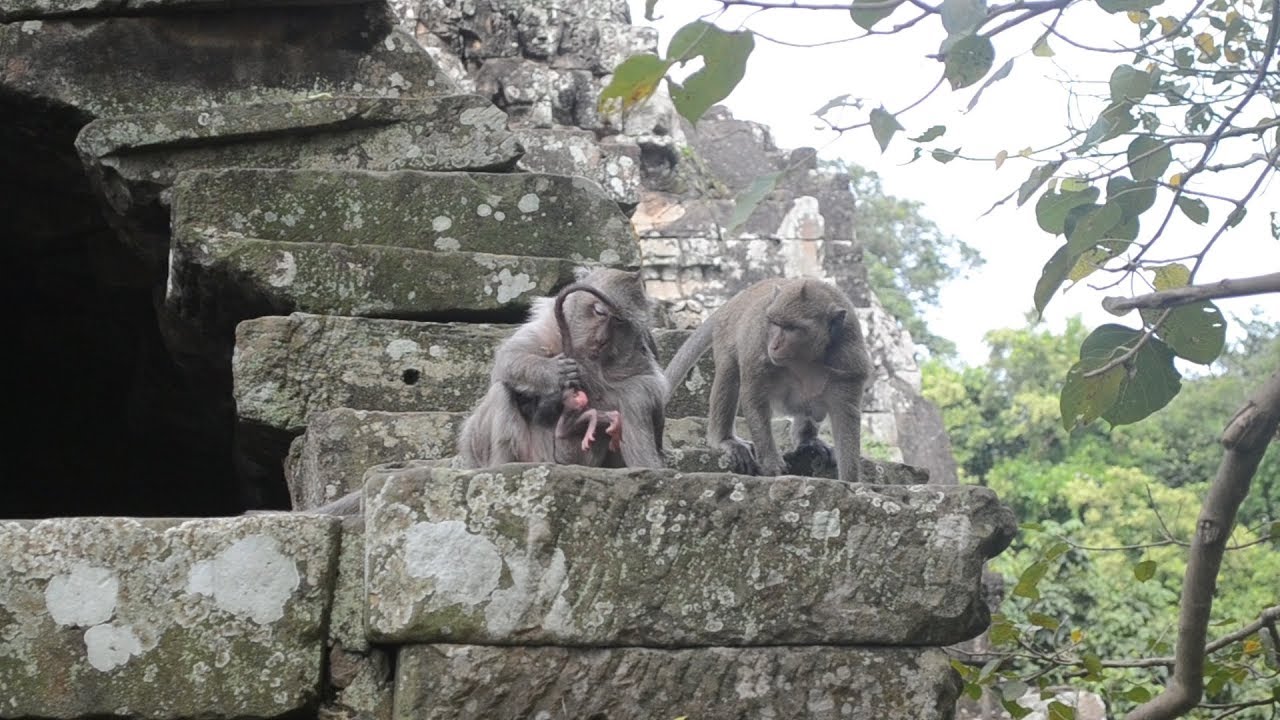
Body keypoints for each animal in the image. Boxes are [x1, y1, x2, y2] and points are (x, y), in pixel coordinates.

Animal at [456, 267, 668, 469]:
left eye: (619, 321)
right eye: (599, 311)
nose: (602, 339)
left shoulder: (639, 366)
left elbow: (642, 391)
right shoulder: (549, 328)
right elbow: (508, 359)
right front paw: (555, 372)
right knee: (501, 390)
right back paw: (501, 464)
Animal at [663, 277, 872, 484]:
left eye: (793, 328)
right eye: (775, 323)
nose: (775, 345)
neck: (805, 360)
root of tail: (735, 299)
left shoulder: (848, 362)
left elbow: (845, 416)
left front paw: (850, 481)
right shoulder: (758, 347)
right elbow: (754, 398)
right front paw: (772, 465)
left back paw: (807, 440)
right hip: (726, 332)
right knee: (729, 373)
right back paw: (725, 440)